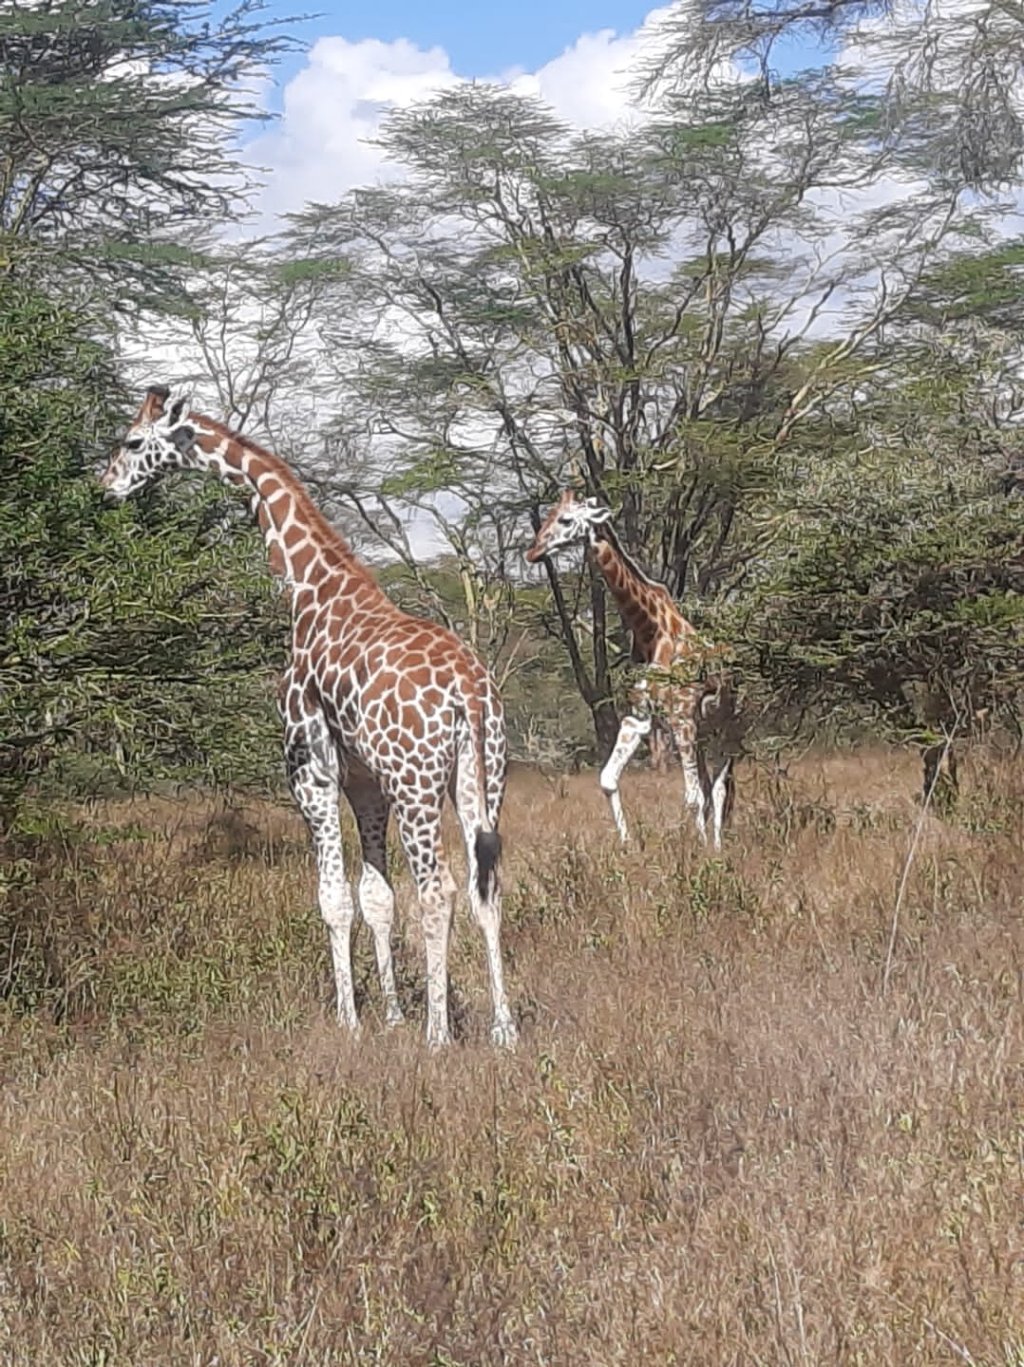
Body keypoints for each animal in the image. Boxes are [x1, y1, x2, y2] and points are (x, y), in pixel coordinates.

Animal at [99, 390, 514, 1049]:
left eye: (134, 441)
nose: (106, 487)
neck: (310, 588)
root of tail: (469, 692)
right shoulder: (365, 780)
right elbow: (375, 895)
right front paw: (390, 1015)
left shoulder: (309, 767)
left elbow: (333, 897)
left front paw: (352, 1021)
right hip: (481, 776)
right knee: (486, 887)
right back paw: (503, 1029)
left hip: (418, 783)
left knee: (439, 890)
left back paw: (438, 1035)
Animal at [527, 486, 732, 847]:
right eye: (548, 515)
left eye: (566, 520)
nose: (532, 551)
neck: (650, 630)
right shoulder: (639, 718)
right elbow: (608, 779)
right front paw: (626, 844)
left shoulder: (680, 717)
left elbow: (692, 796)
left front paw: (700, 851)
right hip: (702, 732)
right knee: (709, 786)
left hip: (723, 727)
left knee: (717, 787)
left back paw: (718, 846)